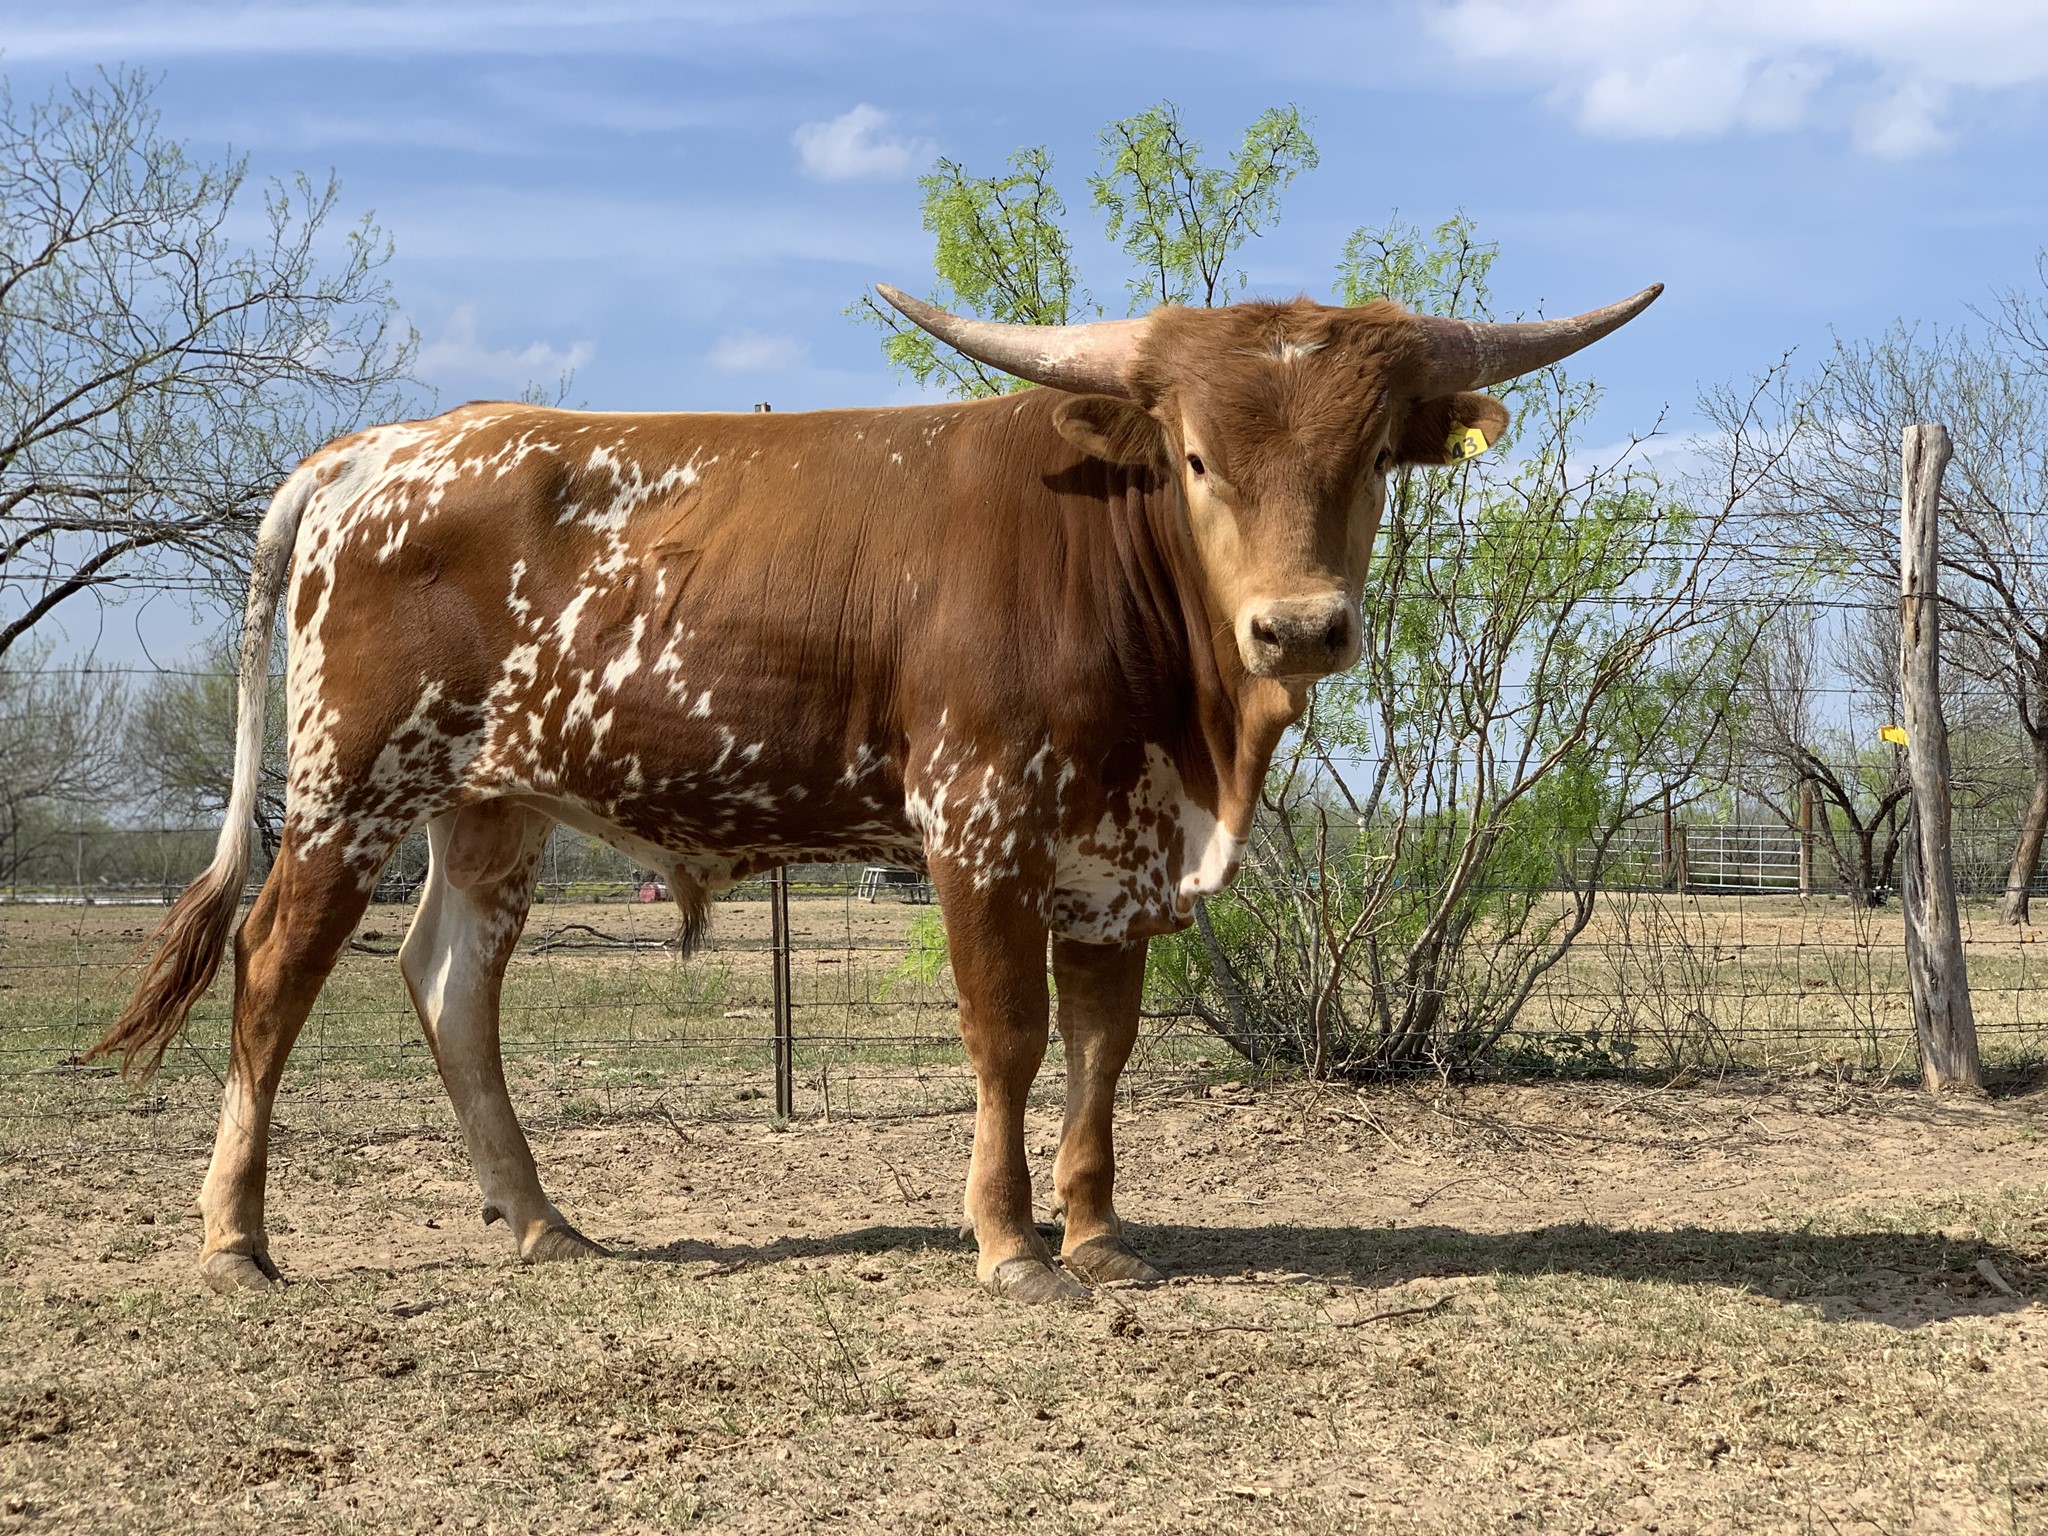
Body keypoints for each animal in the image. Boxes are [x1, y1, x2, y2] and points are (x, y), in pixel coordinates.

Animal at [94, 281, 1661, 1301]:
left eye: (1370, 461)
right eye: (1198, 456)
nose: (1300, 628)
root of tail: (381, 447)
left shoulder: (1115, 856)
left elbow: (1102, 1048)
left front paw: (1099, 1235)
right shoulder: (979, 822)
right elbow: (1008, 1037)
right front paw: (1012, 1247)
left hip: (495, 802)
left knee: (446, 981)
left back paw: (542, 1225)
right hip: (350, 778)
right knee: (275, 966)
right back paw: (235, 1239)